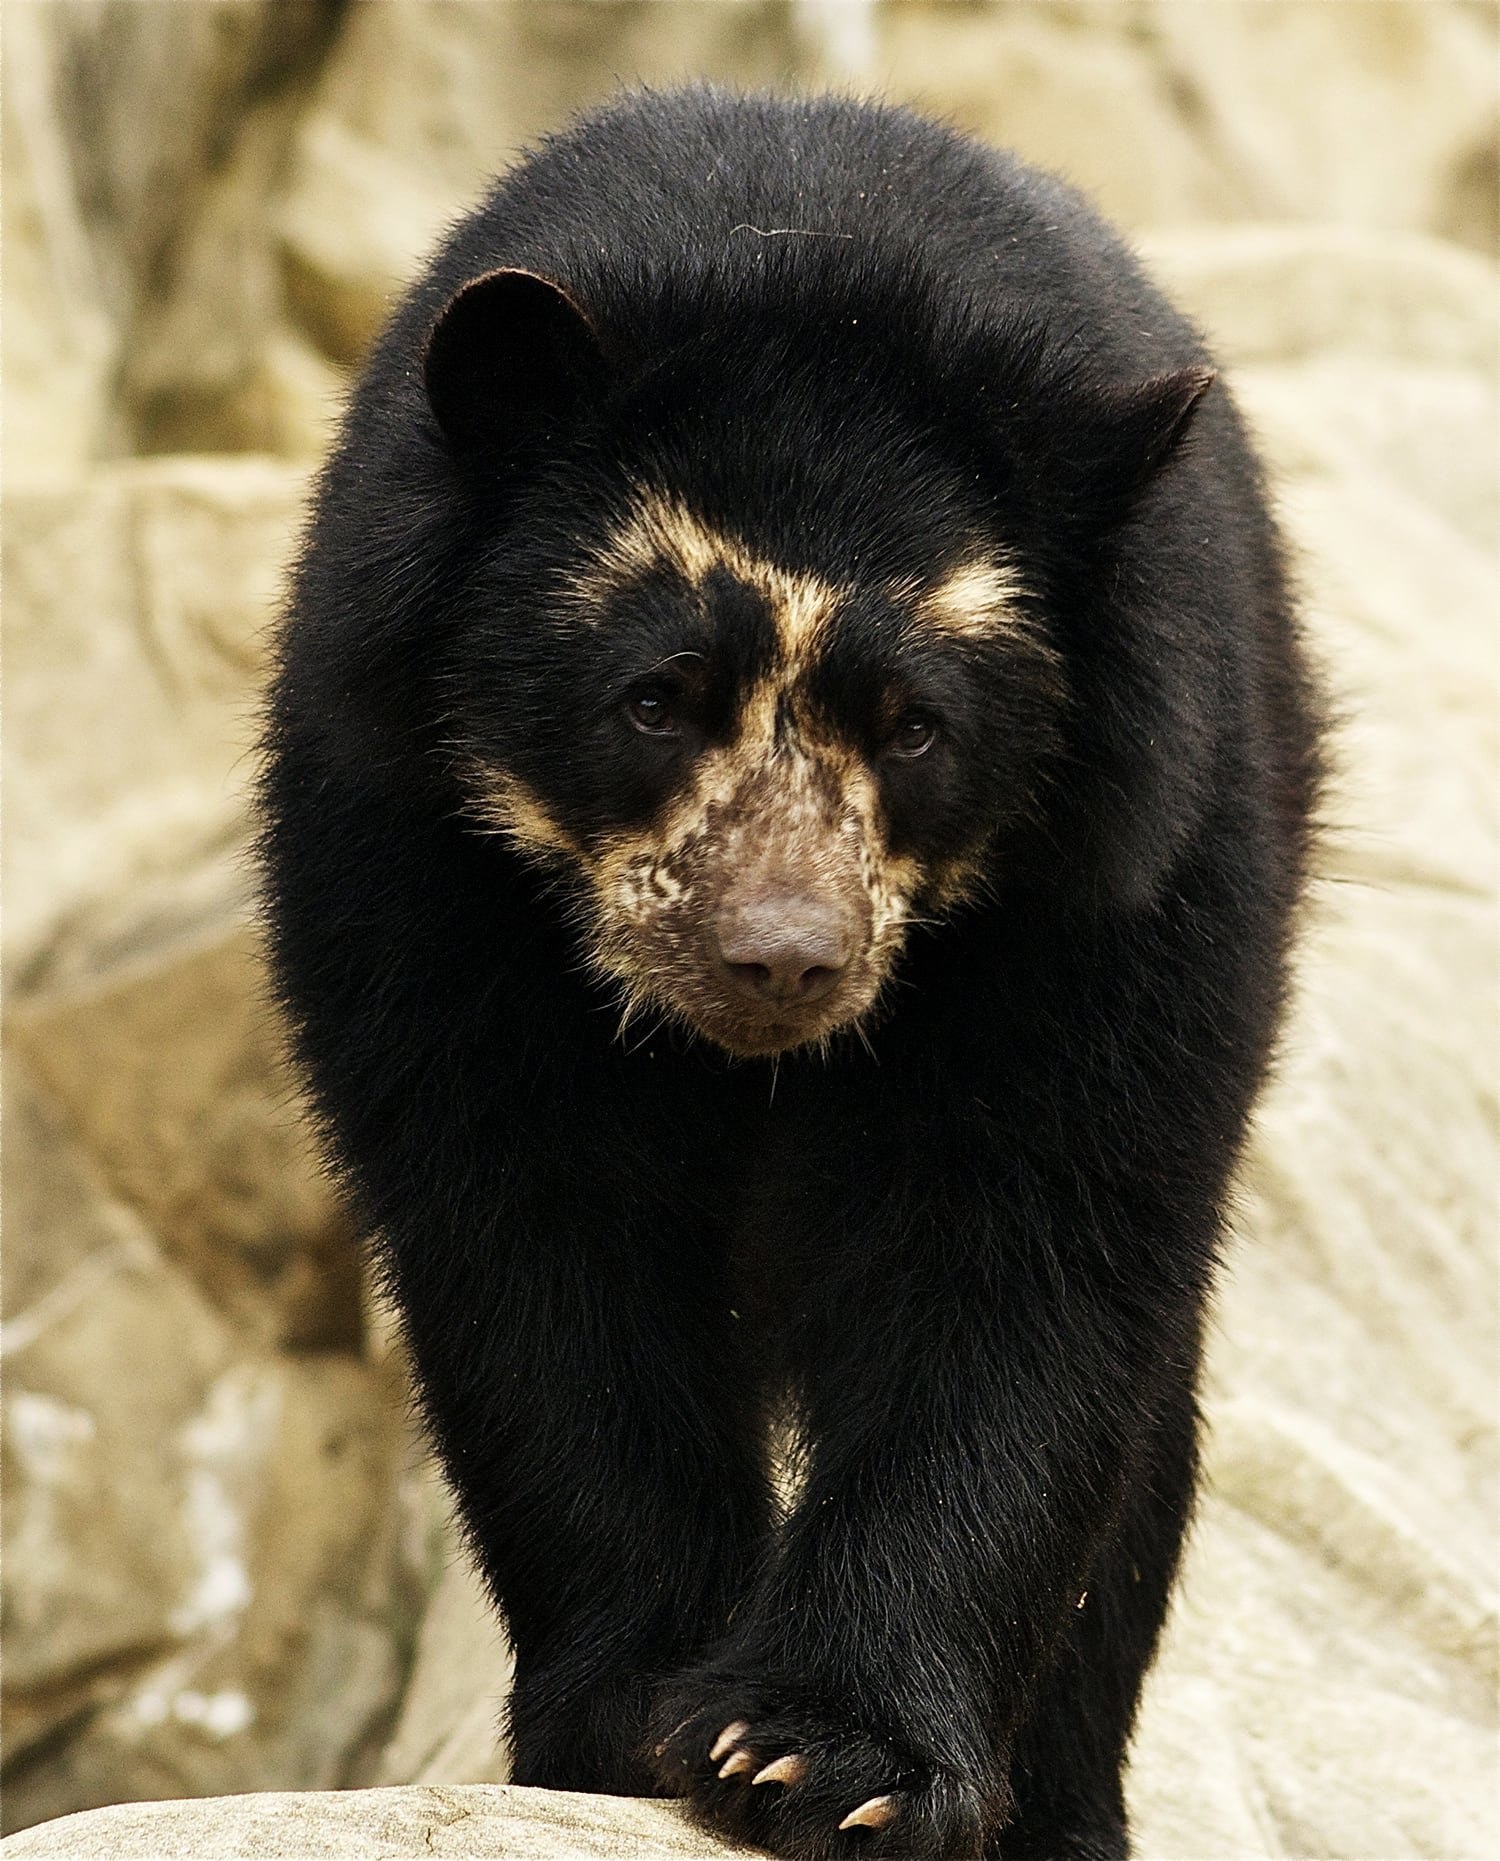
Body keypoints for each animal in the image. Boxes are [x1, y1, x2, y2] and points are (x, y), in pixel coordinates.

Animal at [260, 87, 1325, 1861]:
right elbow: (534, 1244)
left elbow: (1024, 1252)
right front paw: (628, 1719)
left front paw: (820, 1757)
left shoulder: (1128, 876)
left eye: (919, 727)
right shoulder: (402, 846)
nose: (780, 957)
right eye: (658, 695)